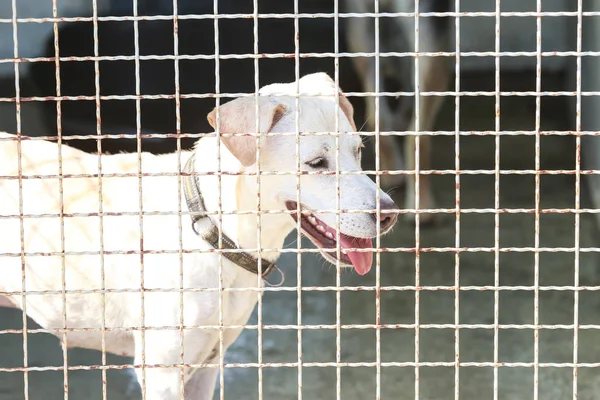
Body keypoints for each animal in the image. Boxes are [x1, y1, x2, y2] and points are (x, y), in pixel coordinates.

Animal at [0, 73, 398, 398]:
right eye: (316, 164)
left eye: (358, 151)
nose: (390, 214)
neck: (213, 231)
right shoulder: (161, 373)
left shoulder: (207, 365)